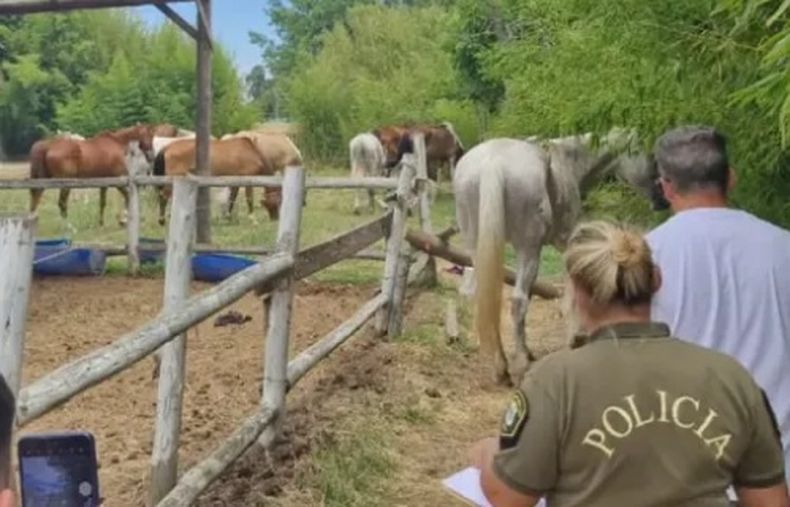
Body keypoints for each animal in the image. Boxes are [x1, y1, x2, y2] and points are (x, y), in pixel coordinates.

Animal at [453, 128, 660, 386]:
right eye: (649, 154)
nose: (659, 199)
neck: (569, 161)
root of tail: (492, 163)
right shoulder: (567, 241)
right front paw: (575, 337)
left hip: (476, 248)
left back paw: (498, 364)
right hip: (528, 249)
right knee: (518, 300)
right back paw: (519, 363)